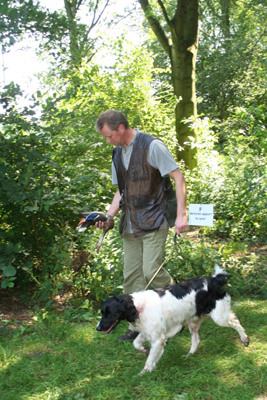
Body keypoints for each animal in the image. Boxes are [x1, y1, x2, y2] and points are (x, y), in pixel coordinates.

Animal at [97, 266, 251, 376]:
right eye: (102, 312)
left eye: (109, 313)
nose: (98, 328)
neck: (138, 306)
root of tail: (214, 279)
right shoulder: (147, 332)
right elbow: (136, 343)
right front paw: (145, 350)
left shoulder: (158, 339)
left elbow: (149, 360)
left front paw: (143, 372)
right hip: (193, 321)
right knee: (196, 339)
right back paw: (189, 355)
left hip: (220, 317)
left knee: (236, 322)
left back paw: (245, 339)